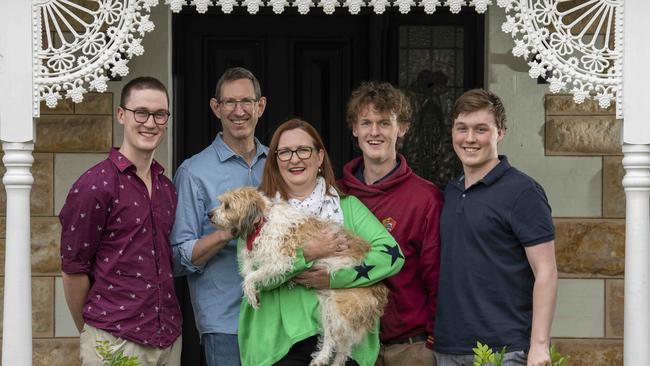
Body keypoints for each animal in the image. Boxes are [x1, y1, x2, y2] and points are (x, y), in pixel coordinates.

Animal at [210, 187, 388, 366]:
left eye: (227, 206)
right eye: (222, 203)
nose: (209, 214)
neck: (262, 221)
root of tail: (378, 290)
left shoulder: (279, 262)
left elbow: (250, 276)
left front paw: (251, 294)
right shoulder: (256, 253)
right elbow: (247, 267)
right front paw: (253, 292)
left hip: (339, 309)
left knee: (342, 343)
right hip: (327, 307)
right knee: (335, 341)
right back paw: (322, 358)